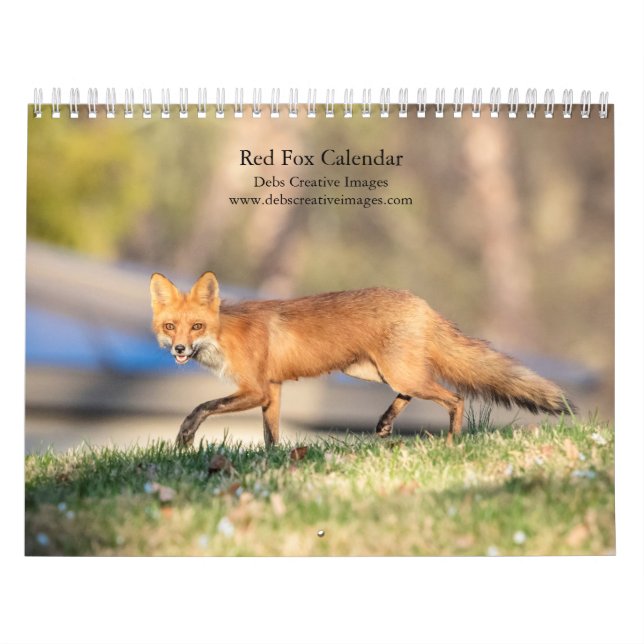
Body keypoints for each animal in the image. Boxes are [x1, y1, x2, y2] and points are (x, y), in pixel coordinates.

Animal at [150, 271, 574, 448]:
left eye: (197, 326)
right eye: (171, 327)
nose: (180, 350)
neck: (224, 334)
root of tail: (421, 303)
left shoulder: (255, 389)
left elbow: (203, 406)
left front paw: (185, 435)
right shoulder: (272, 391)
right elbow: (271, 437)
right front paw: (274, 464)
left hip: (397, 373)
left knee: (455, 398)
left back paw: (453, 441)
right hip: (375, 373)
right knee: (413, 394)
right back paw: (385, 424)